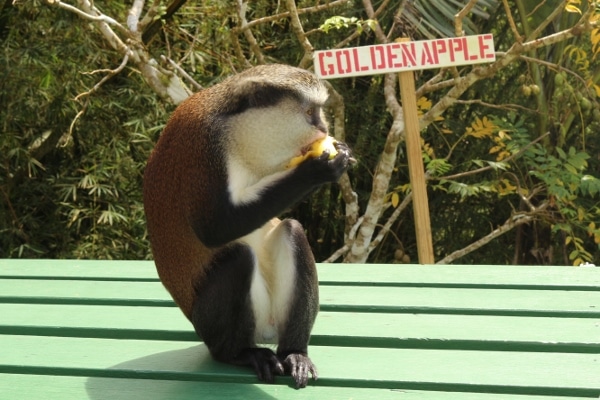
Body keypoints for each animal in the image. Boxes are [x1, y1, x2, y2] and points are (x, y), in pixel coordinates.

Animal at [143, 63, 354, 388]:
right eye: (310, 112)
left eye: (320, 112)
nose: (324, 128)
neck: (236, 133)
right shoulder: (205, 152)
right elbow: (214, 228)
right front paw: (318, 169)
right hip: (208, 324)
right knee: (238, 259)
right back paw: (238, 353)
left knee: (293, 231)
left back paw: (294, 353)